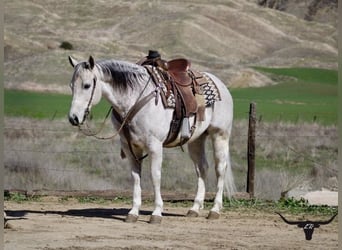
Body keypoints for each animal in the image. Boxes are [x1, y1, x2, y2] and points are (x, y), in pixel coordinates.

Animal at [68, 55, 236, 224]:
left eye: (87, 85)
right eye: (71, 86)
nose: (73, 118)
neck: (136, 99)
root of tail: (220, 84)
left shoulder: (155, 146)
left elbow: (155, 176)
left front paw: (156, 213)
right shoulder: (130, 147)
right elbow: (136, 177)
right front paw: (133, 212)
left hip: (220, 135)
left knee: (220, 168)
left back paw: (215, 210)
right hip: (196, 140)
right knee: (202, 168)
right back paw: (194, 208)